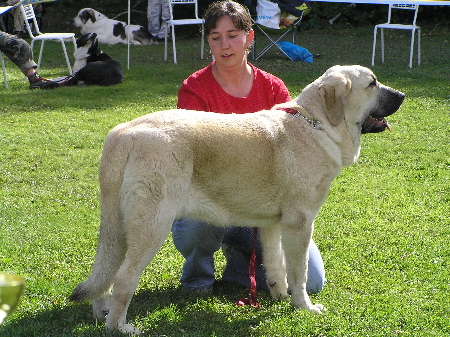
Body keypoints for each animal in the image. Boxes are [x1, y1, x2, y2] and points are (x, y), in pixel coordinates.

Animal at [69, 65, 404, 334]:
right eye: (372, 83)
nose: (402, 94)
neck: (316, 124)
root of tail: (123, 133)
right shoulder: (299, 224)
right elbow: (299, 272)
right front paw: (304, 307)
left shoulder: (273, 226)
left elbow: (277, 266)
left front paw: (280, 297)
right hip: (153, 226)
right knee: (124, 278)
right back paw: (119, 326)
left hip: (119, 227)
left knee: (106, 273)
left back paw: (101, 313)